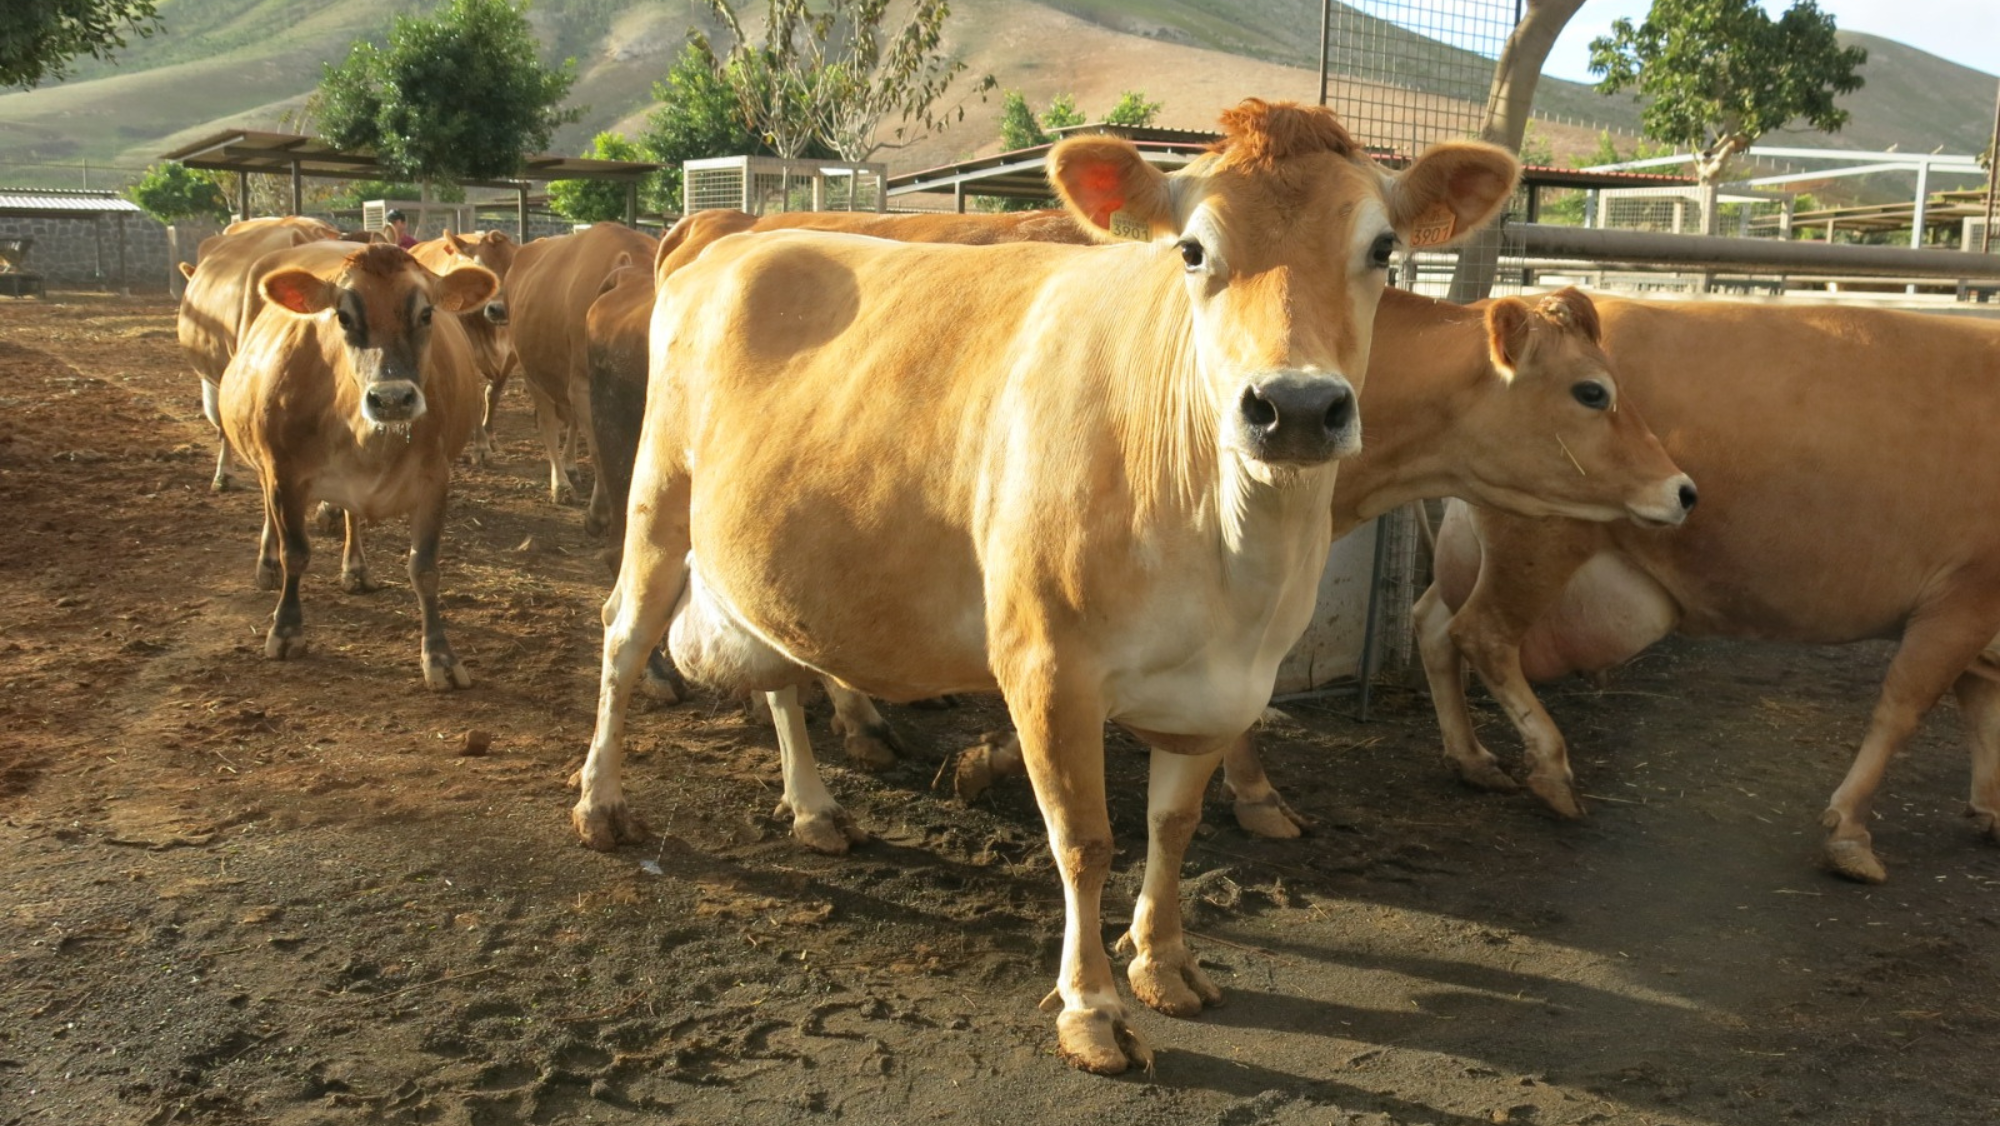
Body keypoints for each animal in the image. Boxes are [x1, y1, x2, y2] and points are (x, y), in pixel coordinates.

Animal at [217, 242, 496, 689]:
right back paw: (268, 563)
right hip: (261, 462)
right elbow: (297, 552)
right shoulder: (283, 473)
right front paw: (286, 629)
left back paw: (356, 568)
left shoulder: (435, 479)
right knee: (269, 513)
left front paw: (439, 655)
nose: (392, 398)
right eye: (343, 316)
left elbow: (425, 568)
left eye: (426, 314)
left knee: (351, 515)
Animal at [411, 230, 519, 466]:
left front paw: (490, 437)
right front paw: (481, 447)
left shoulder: (511, 357)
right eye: (479, 266)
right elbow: (476, 398)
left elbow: (493, 394)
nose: (498, 310)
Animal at [503, 222, 658, 509]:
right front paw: (601, 506)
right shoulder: (583, 386)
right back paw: (560, 484)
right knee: (549, 425)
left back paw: (570, 467)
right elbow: (598, 449)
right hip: (531, 371)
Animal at [572, 99, 1520, 1073]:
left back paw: (814, 808)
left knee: (779, 672)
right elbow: (1084, 841)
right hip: (657, 499)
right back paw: (602, 805)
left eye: (1381, 247)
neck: (1231, 556)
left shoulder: (1222, 688)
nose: (1292, 407)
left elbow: (1173, 826)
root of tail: (731, 235)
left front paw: (1164, 961)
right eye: (1191, 250)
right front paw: (1091, 1008)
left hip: (764, 549)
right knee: (621, 636)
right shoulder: (1047, 667)